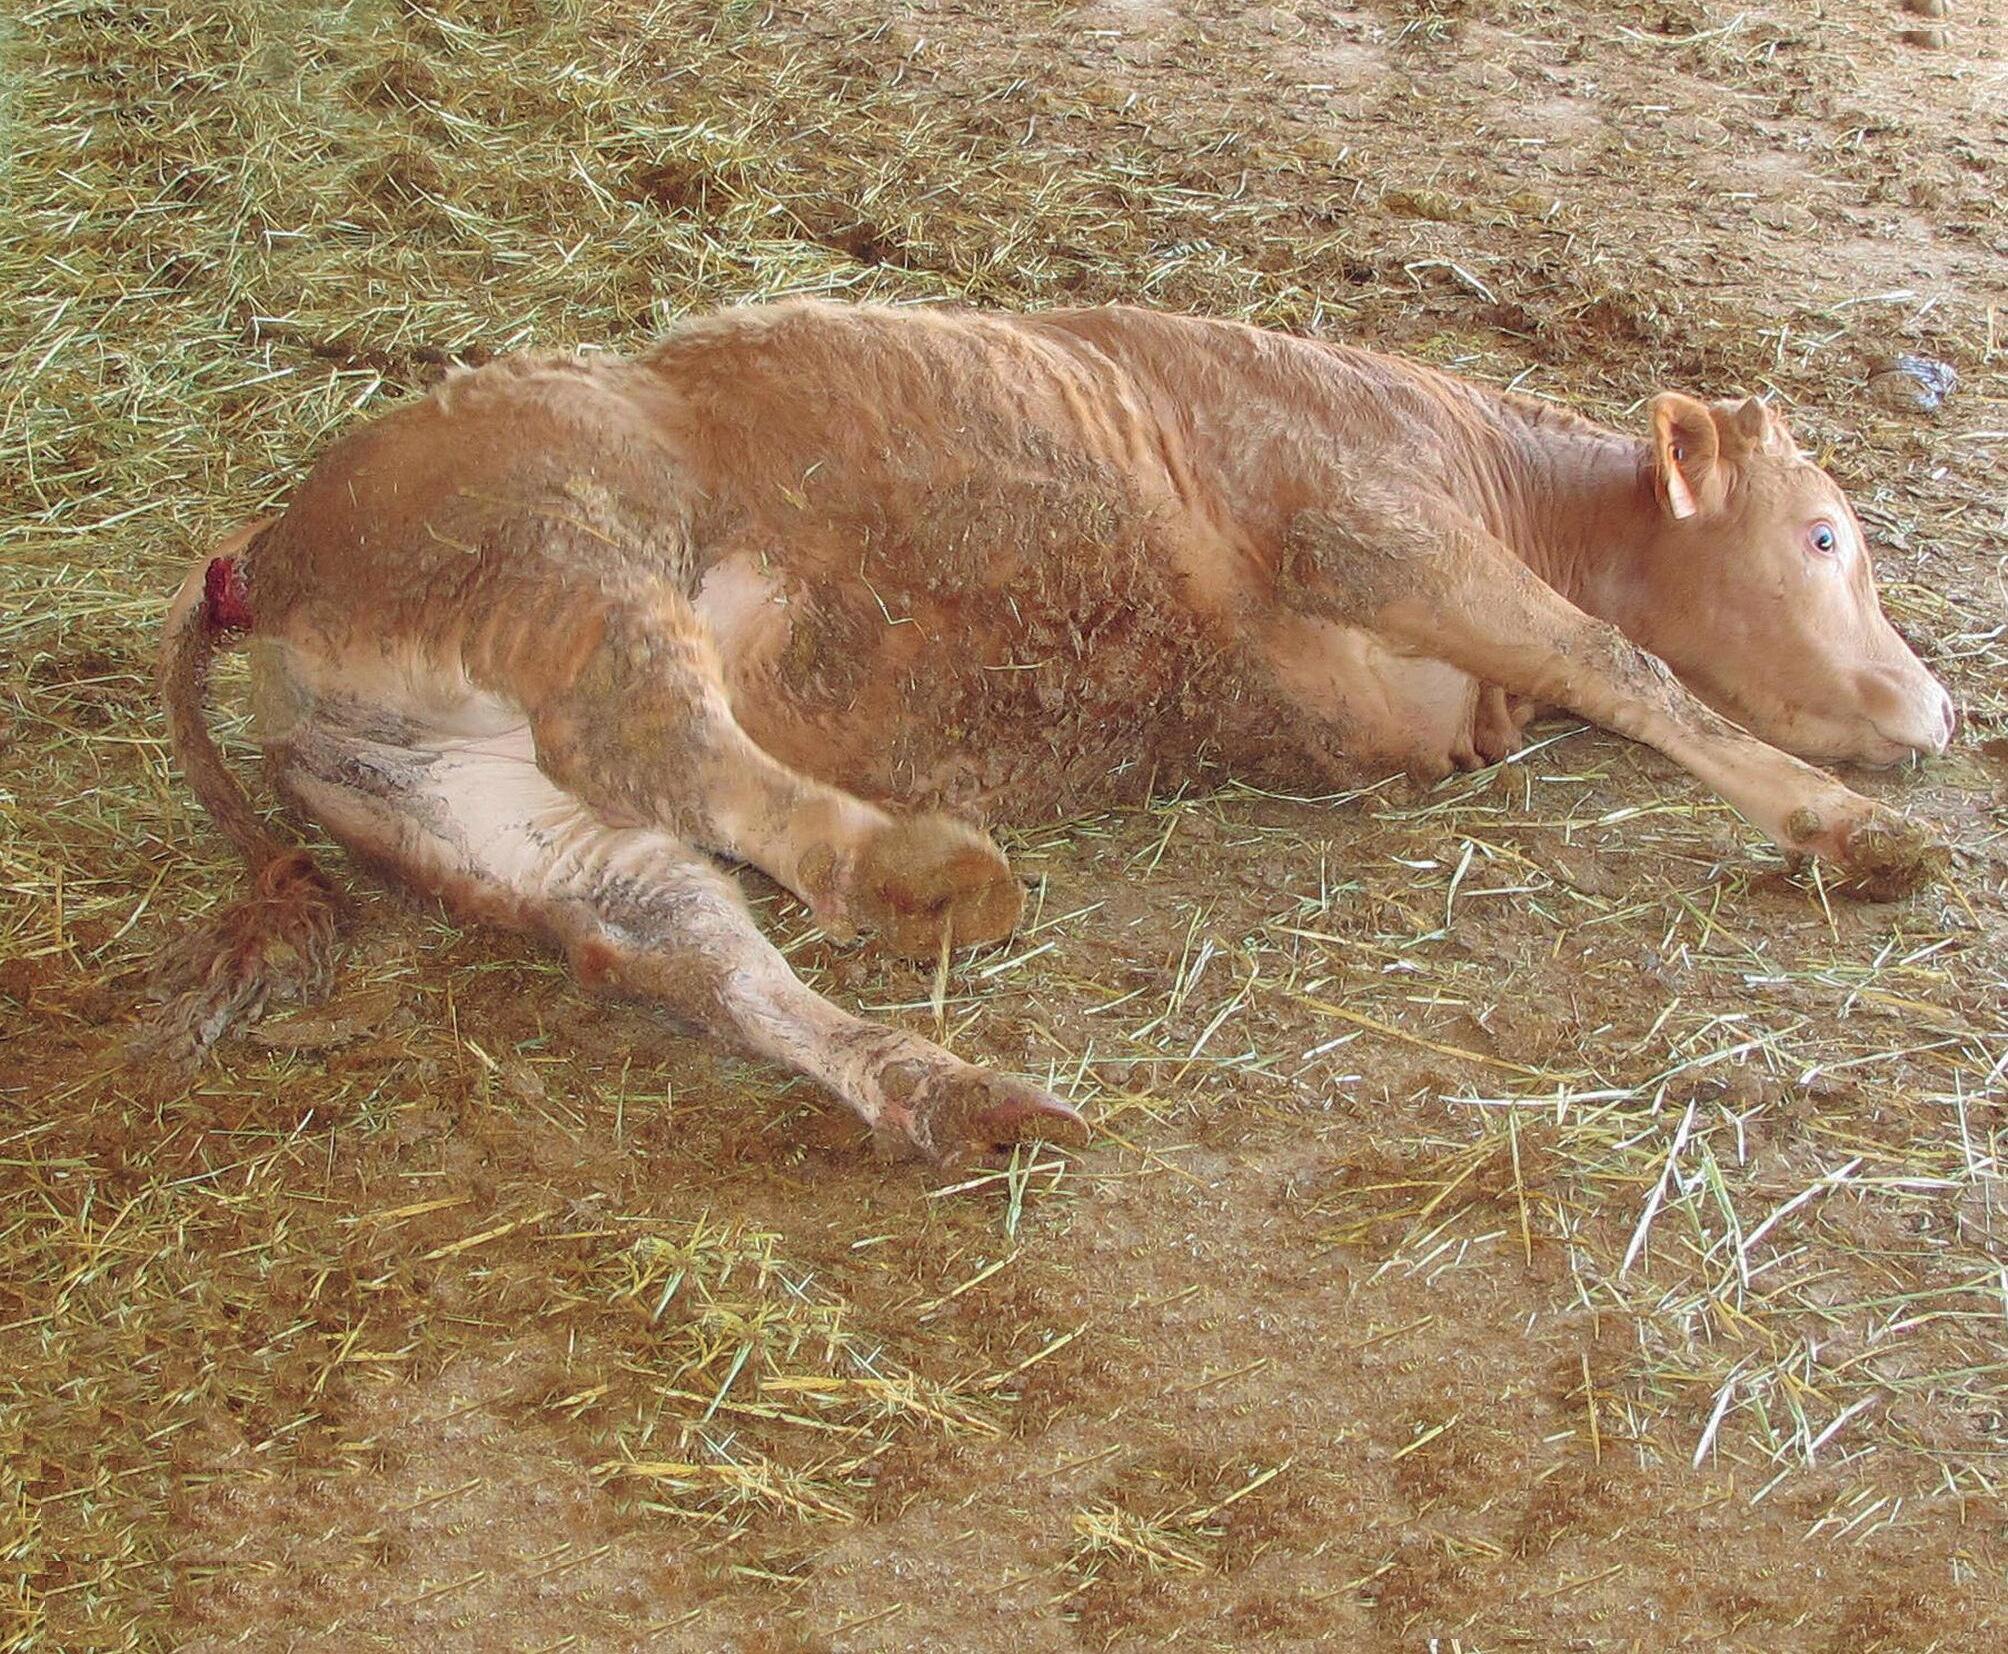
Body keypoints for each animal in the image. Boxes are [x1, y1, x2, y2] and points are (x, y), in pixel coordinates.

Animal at [150, 302, 1956, 1161]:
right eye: (1821, 536)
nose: (1939, 707)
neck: (1493, 471)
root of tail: (264, 556)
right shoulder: (1366, 522)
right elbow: (1619, 660)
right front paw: (1842, 827)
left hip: (459, 800)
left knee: (683, 938)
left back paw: (941, 1088)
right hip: (566, 545)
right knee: (645, 726)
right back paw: (910, 867)